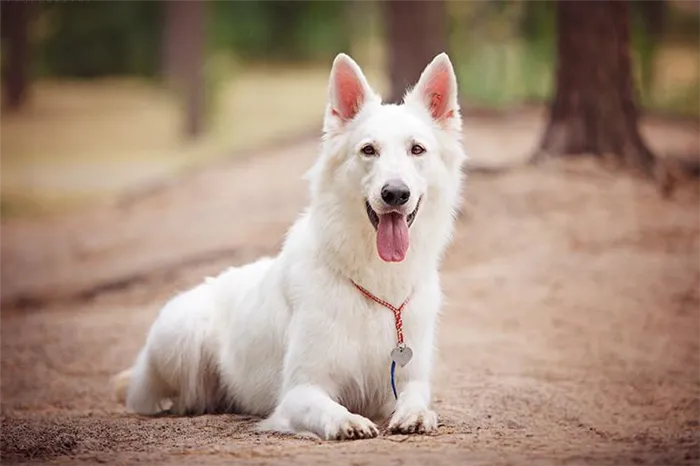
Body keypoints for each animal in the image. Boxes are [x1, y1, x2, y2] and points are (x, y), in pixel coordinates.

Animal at [113, 52, 464, 440]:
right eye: (368, 150)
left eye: (417, 149)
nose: (395, 193)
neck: (376, 286)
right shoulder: (301, 389)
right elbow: (328, 407)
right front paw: (348, 421)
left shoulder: (407, 379)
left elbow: (417, 398)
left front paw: (416, 415)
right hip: (181, 337)